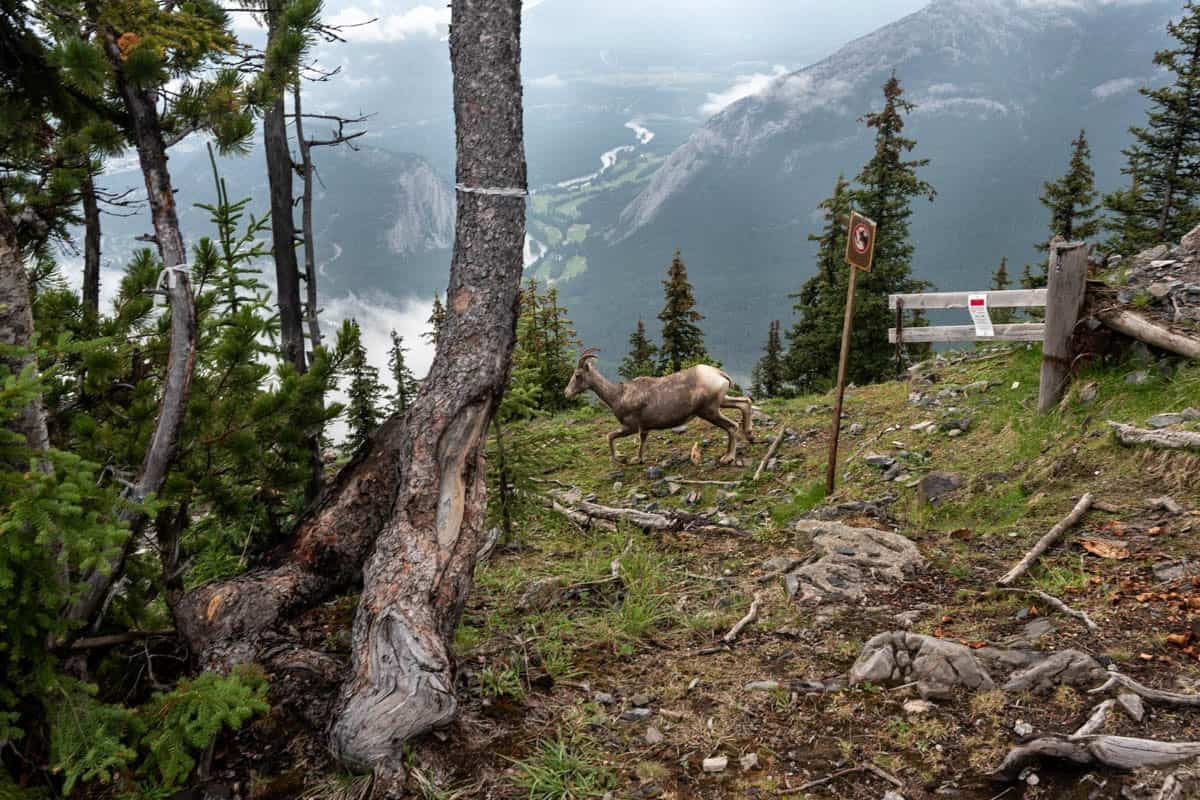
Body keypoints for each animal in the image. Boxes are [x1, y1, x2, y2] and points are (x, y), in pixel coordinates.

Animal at [564, 348, 753, 465]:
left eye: (578, 375)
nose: (567, 393)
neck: (618, 396)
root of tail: (719, 374)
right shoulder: (644, 429)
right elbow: (642, 442)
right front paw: (638, 460)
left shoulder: (630, 427)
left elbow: (610, 436)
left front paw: (621, 458)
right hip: (721, 402)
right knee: (745, 402)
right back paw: (750, 436)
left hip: (709, 411)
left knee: (732, 426)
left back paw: (727, 458)